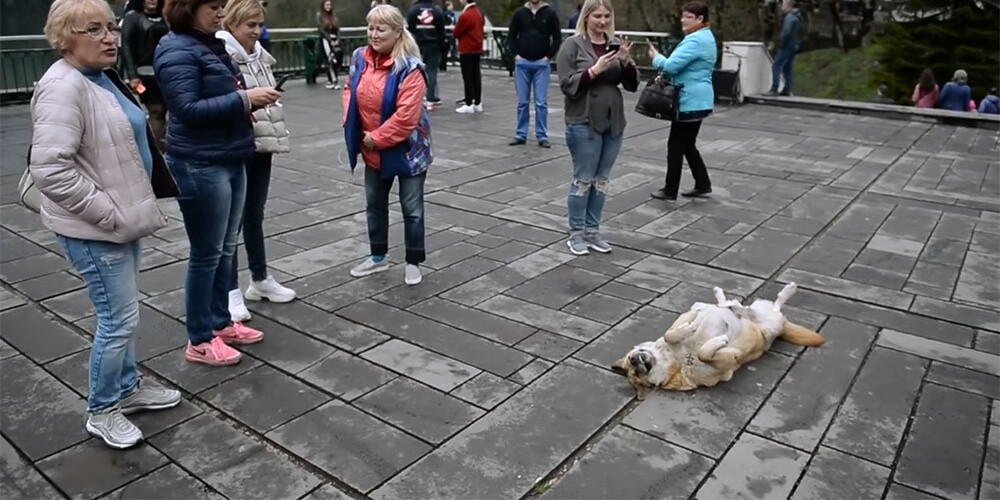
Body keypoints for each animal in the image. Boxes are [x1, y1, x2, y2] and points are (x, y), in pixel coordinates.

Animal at [612, 284, 824, 400]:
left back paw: (728, 301)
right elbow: (704, 354)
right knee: (767, 309)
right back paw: (737, 305)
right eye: (636, 374)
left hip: (760, 316)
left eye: (631, 360)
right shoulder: (728, 364)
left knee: (763, 305)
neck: (676, 361)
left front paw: (689, 328)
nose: (635, 360)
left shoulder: (683, 318)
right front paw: (719, 340)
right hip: (768, 327)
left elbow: (669, 334)